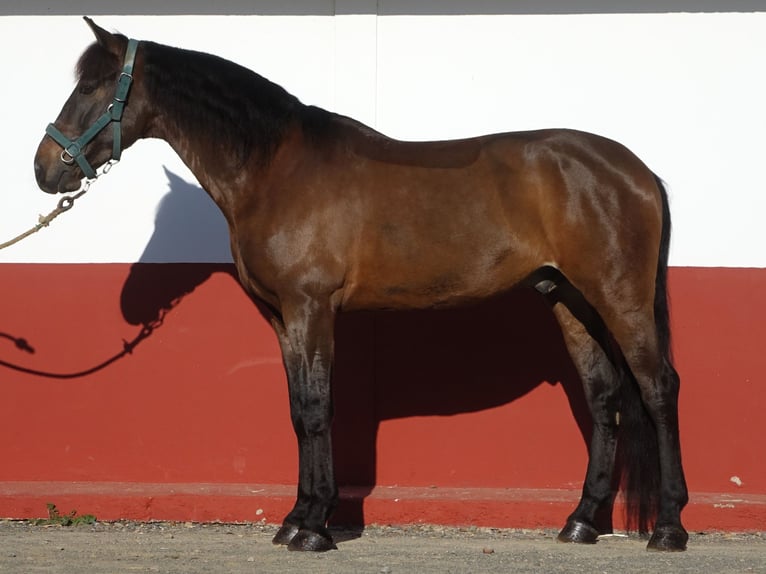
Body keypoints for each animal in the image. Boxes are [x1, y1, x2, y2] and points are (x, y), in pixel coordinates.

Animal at [33, 17, 688, 552]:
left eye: (91, 87)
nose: (43, 169)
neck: (274, 169)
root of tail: (638, 171)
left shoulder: (312, 308)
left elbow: (318, 407)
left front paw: (315, 528)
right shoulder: (282, 317)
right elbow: (298, 411)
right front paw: (297, 518)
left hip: (621, 298)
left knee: (657, 388)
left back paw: (668, 527)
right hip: (568, 299)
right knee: (604, 397)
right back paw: (581, 521)